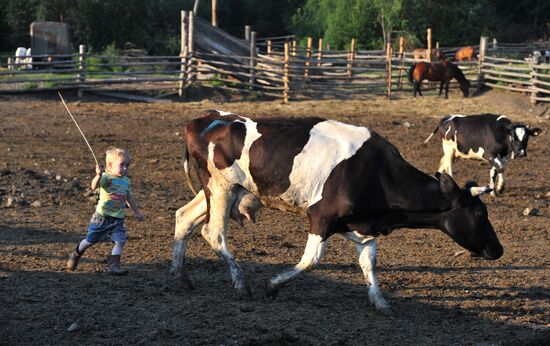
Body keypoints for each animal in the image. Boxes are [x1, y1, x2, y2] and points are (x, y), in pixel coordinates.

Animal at [172, 110, 504, 314]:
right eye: (480, 215)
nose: (499, 250)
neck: (376, 172)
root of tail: (206, 120)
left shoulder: (362, 227)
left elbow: (369, 263)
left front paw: (380, 301)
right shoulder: (321, 218)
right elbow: (310, 261)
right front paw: (272, 285)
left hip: (220, 193)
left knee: (184, 218)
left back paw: (179, 276)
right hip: (221, 188)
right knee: (213, 233)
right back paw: (241, 284)